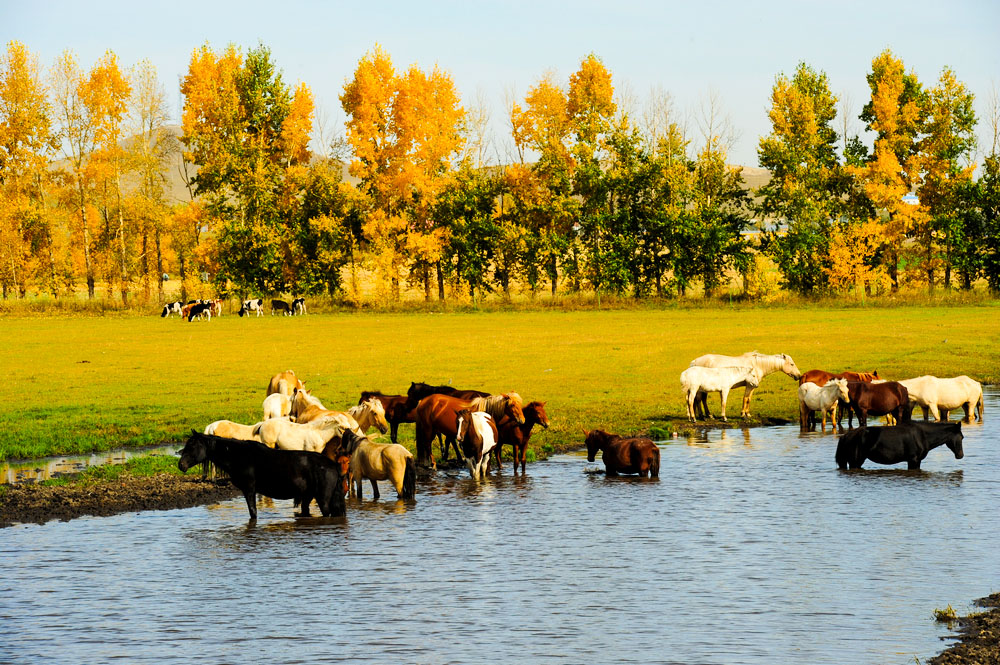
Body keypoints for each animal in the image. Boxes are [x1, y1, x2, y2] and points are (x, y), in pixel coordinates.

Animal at [179, 430, 348, 520]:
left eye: (192, 446)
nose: (181, 465)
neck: (239, 456)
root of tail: (333, 466)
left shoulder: (249, 490)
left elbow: (253, 513)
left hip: (323, 500)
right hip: (308, 496)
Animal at [832, 422, 964, 470]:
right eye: (961, 437)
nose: (960, 455)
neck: (922, 435)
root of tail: (845, 436)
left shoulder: (917, 461)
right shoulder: (913, 460)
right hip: (855, 462)